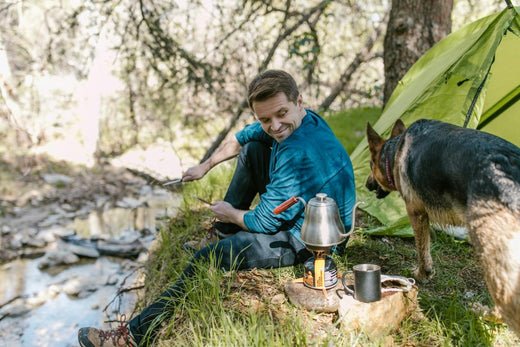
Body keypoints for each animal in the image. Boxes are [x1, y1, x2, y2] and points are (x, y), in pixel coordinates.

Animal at [366, 119, 520, 334]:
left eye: (370, 164)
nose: (366, 185)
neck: (395, 150)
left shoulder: (416, 213)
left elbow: (423, 250)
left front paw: (422, 274)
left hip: (490, 253)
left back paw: (483, 312)